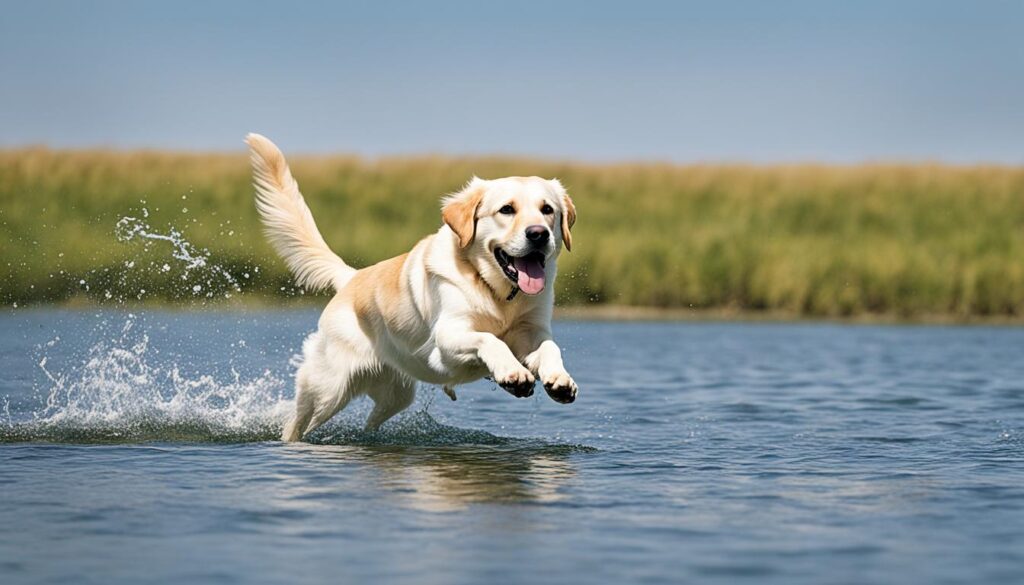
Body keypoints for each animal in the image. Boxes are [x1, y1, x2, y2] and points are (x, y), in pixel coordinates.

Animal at [244, 134, 581, 444]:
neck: (498, 293)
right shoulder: (448, 337)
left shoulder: (531, 331)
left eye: (548, 209)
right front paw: (513, 374)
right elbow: (489, 339)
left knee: (371, 421)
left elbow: (550, 347)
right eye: (507, 210)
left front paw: (560, 379)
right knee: (297, 422)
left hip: (395, 395)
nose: (538, 234)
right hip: (328, 388)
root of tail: (352, 277)